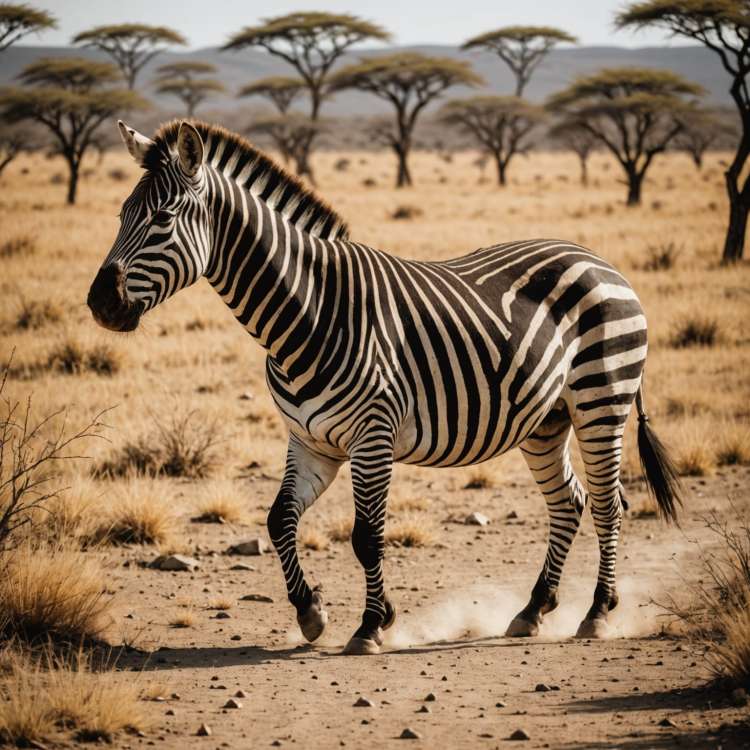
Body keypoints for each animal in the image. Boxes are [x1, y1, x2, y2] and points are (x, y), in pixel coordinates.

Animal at [88, 119, 681, 655]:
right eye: (120, 216)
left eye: (162, 219)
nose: (100, 303)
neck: (306, 314)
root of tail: (598, 259)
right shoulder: (311, 441)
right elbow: (279, 519)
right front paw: (311, 612)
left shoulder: (372, 437)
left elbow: (366, 536)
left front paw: (372, 625)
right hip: (545, 420)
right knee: (569, 502)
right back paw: (534, 610)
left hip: (602, 400)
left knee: (608, 504)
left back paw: (597, 615)